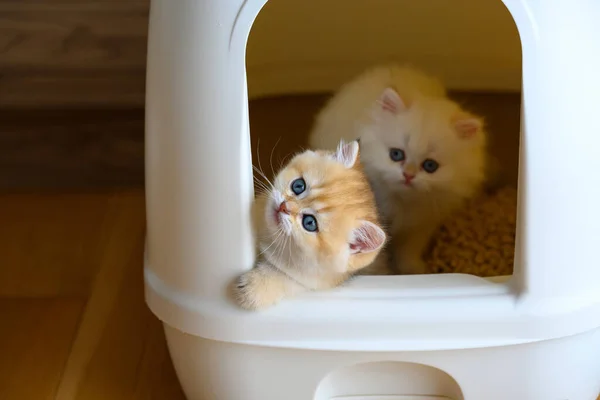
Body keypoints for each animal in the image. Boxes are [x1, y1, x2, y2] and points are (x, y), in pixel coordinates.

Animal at [232, 139, 386, 310]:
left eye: (309, 223)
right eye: (298, 185)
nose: (283, 207)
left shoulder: (315, 282)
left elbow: (285, 279)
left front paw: (253, 289)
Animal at [310, 65, 488, 276]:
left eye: (430, 165)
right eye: (396, 154)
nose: (408, 175)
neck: (401, 202)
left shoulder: (420, 224)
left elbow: (408, 251)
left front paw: (413, 270)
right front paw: (379, 274)